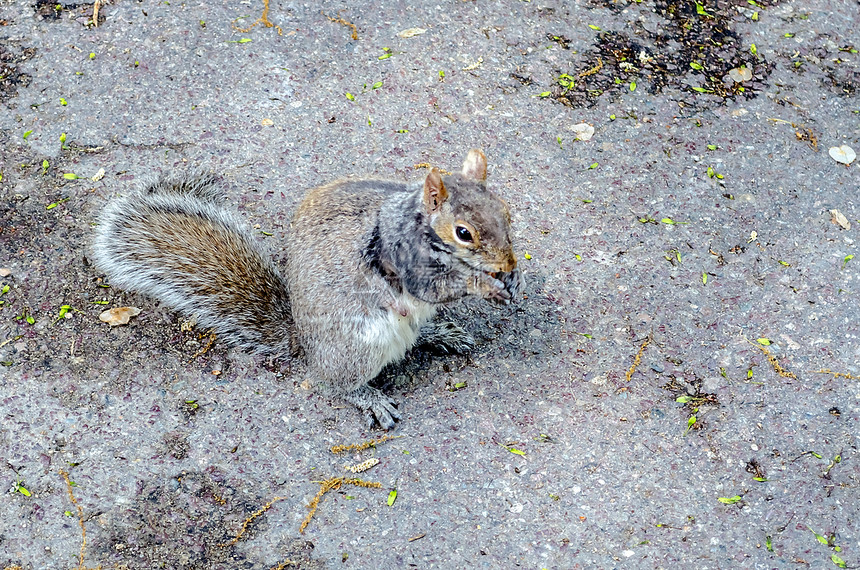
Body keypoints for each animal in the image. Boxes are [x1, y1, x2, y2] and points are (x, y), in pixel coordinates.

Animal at [92, 150, 524, 426]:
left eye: (506, 211)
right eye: (463, 233)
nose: (506, 264)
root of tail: (305, 342)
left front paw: (514, 278)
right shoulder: (402, 263)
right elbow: (435, 287)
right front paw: (484, 285)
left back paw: (439, 333)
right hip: (358, 346)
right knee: (333, 383)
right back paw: (367, 398)